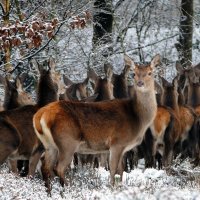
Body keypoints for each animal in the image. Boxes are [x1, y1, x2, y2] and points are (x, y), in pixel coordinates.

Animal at [32, 52, 160, 189]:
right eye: (134, 73)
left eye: (150, 73)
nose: (140, 83)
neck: (138, 118)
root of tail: (40, 115)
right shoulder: (117, 142)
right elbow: (113, 170)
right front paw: (112, 188)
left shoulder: (122, 147)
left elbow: (120, 171)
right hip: (67, 141)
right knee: (58, 168)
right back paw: (68, 188)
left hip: (49, 145)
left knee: (46, 168)